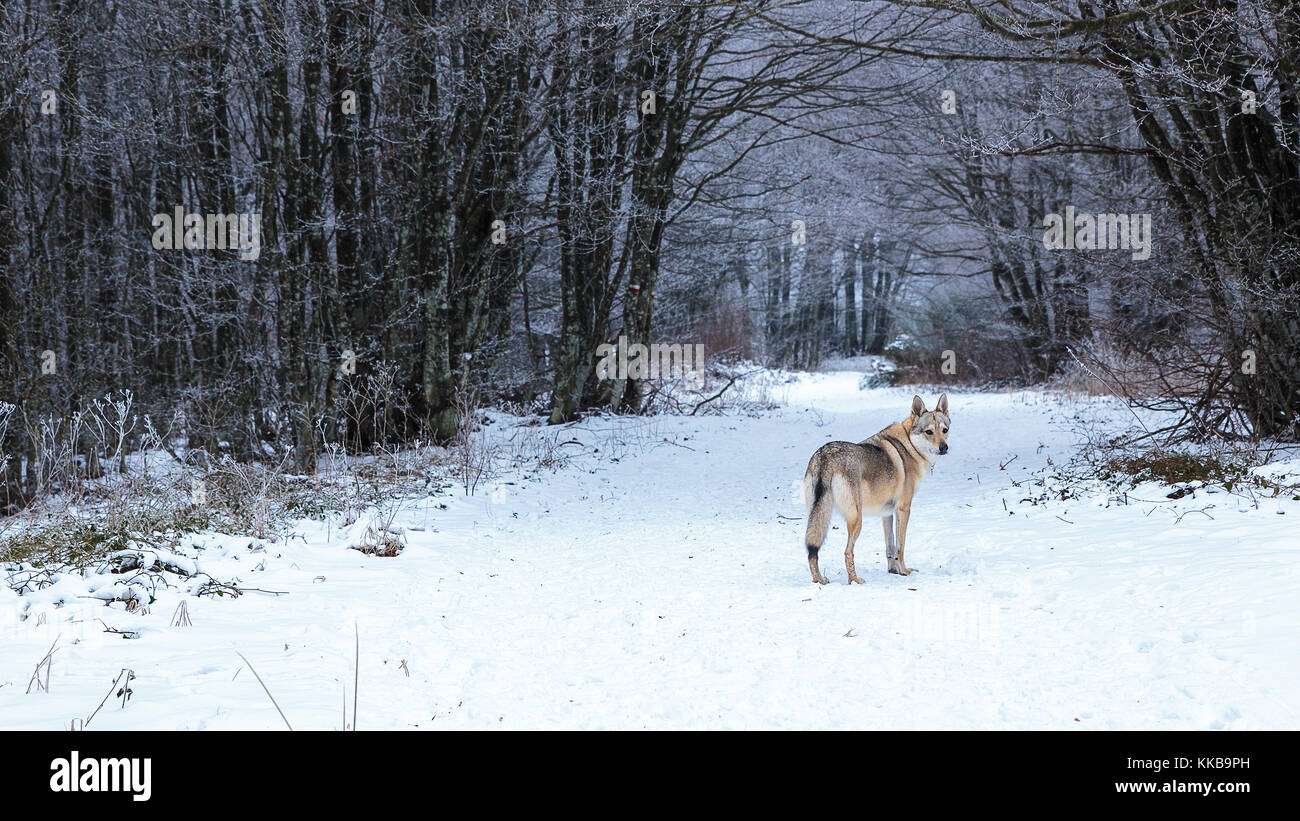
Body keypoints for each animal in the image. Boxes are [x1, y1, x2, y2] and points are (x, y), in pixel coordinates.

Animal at [795, 392, 951, 579]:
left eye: (945, 430)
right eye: (929, 432)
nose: (944, 447)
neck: (910, 446)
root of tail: (826, 456)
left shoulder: (887, 513)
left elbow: (891, 547)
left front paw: (893, 571)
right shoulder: (904, 509)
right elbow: (901, 547)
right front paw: (905, 571)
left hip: (817, 517)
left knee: (812, 554)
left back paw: (820, 581)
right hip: (856, 519)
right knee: (847, 551)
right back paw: (855, 581)